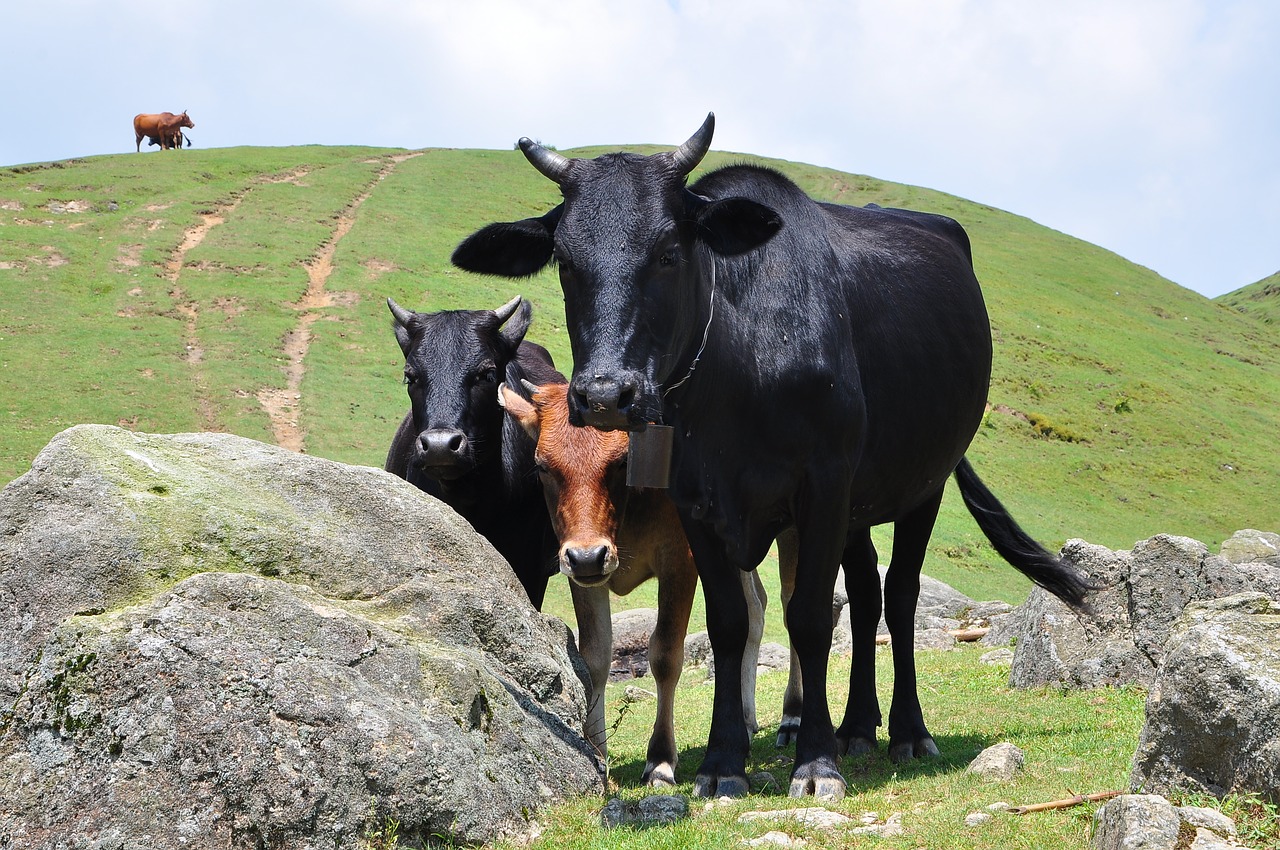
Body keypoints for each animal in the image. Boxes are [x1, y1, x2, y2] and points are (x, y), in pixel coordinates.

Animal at [496, 381, 757, 788]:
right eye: (542, 465)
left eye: (621, 461)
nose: (589, 556)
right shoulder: (581, 573)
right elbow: (594, 658)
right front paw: (597, 754)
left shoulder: (681, 559)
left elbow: (665, 654)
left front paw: (661, 759)